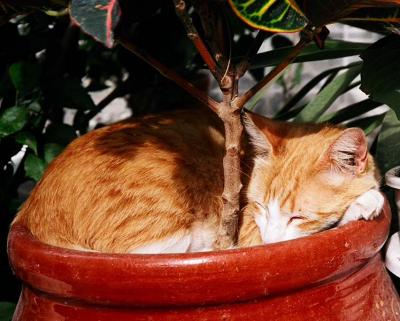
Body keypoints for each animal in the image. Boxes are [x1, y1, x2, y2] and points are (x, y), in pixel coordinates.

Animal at [13, 109, 384, 252]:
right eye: (259, 207)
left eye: (298, 216)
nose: (271, 237)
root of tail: (29, 211)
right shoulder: (248, 236)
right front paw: (365, 201)